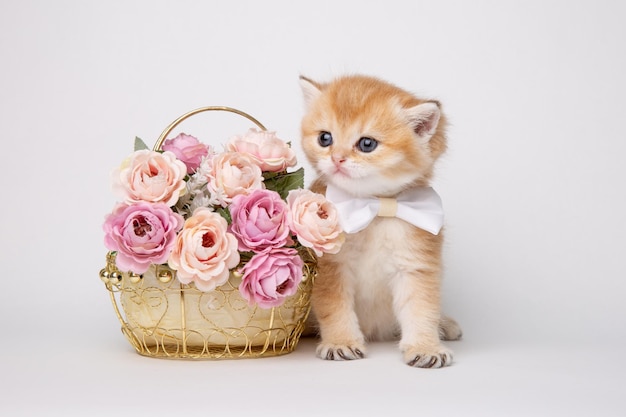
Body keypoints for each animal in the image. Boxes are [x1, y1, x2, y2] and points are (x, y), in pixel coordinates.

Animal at [294, 75, 460, 368]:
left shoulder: (415, 264)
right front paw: (341, 342)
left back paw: (443, 324)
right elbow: (334, 306)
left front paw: (426, 346)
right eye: (325, 138)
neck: (374, 211)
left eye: (367, 144)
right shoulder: (331, 267)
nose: (336, 158)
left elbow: (422, 308)